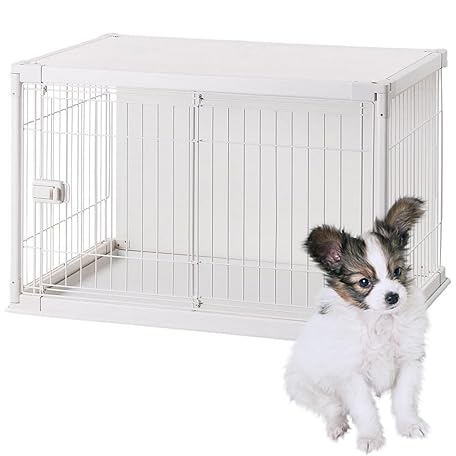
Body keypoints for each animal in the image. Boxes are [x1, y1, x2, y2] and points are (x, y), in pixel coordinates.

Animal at [285, 197, 429, 453]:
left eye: (397, 271)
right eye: (364, 282)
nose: (393, 296)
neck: (379, 320)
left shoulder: (408, 361)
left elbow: (404, 399)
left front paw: (410, 425)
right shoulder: (352, 375)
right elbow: (364, 409)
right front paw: (371, 437)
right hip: (303, 385)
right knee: (331, 405)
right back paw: (337, 425)